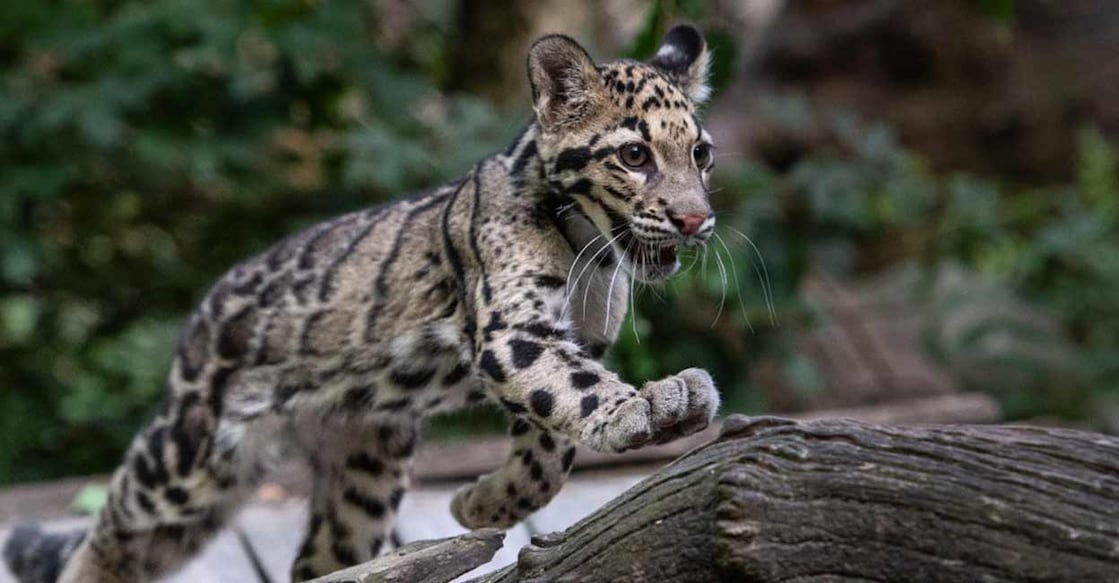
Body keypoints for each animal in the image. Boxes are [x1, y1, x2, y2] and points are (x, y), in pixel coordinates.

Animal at [3, 24, 720, 583]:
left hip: (362, 472)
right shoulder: (513, 333)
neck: (591, 252)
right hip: (185, 457)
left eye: (700, 153)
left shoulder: (569, 340)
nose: (696, 220)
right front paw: (646, 404)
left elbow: (551, 452)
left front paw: (478, 506)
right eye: (634, 154)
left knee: (320, 560)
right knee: (113, 528)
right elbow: (582, 390)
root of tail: (209, 303)